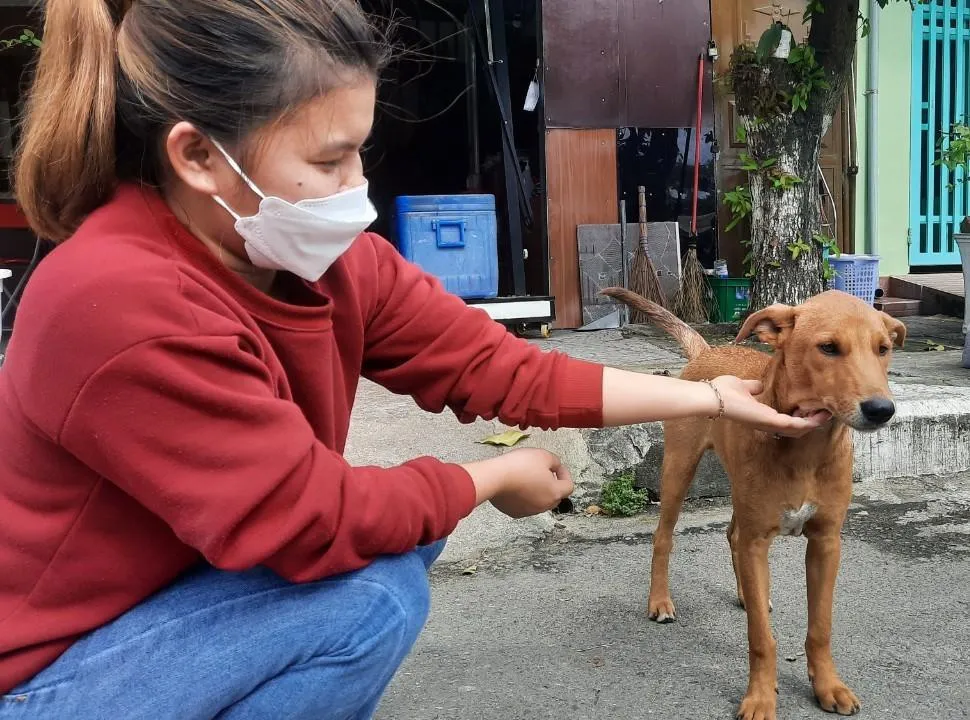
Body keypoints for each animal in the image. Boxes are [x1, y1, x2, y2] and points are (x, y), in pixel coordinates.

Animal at [600, 288, 904, 720]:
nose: (881, 410)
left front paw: (828, 685)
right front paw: (760, 696)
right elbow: (761, 637)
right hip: (678, 469)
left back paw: (747, 593)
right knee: (663, 537)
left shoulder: (826, 543)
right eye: (828, 347)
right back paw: (660, 601)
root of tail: (708, 351)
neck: (806, 452)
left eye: (883, 349)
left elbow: (821, 626)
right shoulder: (759, 540)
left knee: (733, 535)